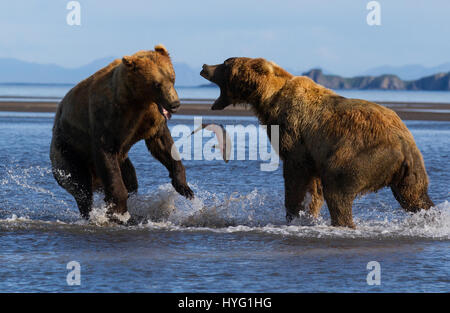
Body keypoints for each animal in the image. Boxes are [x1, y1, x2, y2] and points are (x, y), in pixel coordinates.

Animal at [50, 44, 193, 221]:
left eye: (172, 77)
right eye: (156, 84)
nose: (175, 104)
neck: (137, 99)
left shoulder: (150, 119)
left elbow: (162, 144)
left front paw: (185, 187)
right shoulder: (108, 117)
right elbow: (106, 155)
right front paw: (117, 209)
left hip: (122, 160)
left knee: (130, 177)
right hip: (68, 151)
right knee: (80, 186)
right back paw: (90, 212)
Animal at [200, 56, 432, 227]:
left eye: (225, 63)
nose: (204, 66)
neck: (268, 99)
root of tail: (404, 145)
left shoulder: (295, 134)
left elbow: (296, 174)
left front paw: (294, 214)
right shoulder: (313, 152)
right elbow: (314, 186)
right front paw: (309, 215)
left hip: (362, 155)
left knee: (338, 189)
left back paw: (342, 222)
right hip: (412, 170)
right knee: (414, 196)